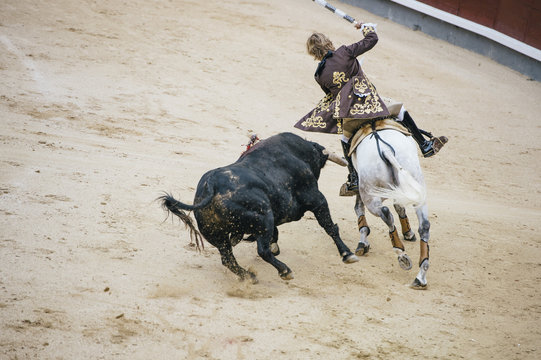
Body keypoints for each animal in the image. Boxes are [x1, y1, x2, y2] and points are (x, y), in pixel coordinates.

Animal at [158, 131, 356, 282]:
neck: (299, 153)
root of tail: (211, 185)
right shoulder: (316, 198)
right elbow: (329, 226)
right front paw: (347, 254)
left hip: (217, 234)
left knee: (228, 259)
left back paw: (249, 276)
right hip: (263, 217)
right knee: (262, 251)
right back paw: (285, 271)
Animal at [350, 125, 430, 288]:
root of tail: (385, 150)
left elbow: (358, 208)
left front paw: (362, 243)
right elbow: (399, 207)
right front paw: (408, 232)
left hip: (370, 195)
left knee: (386, 214)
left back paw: (401, 255)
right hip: (417, 187)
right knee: (424, 225)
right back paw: (420, 276)